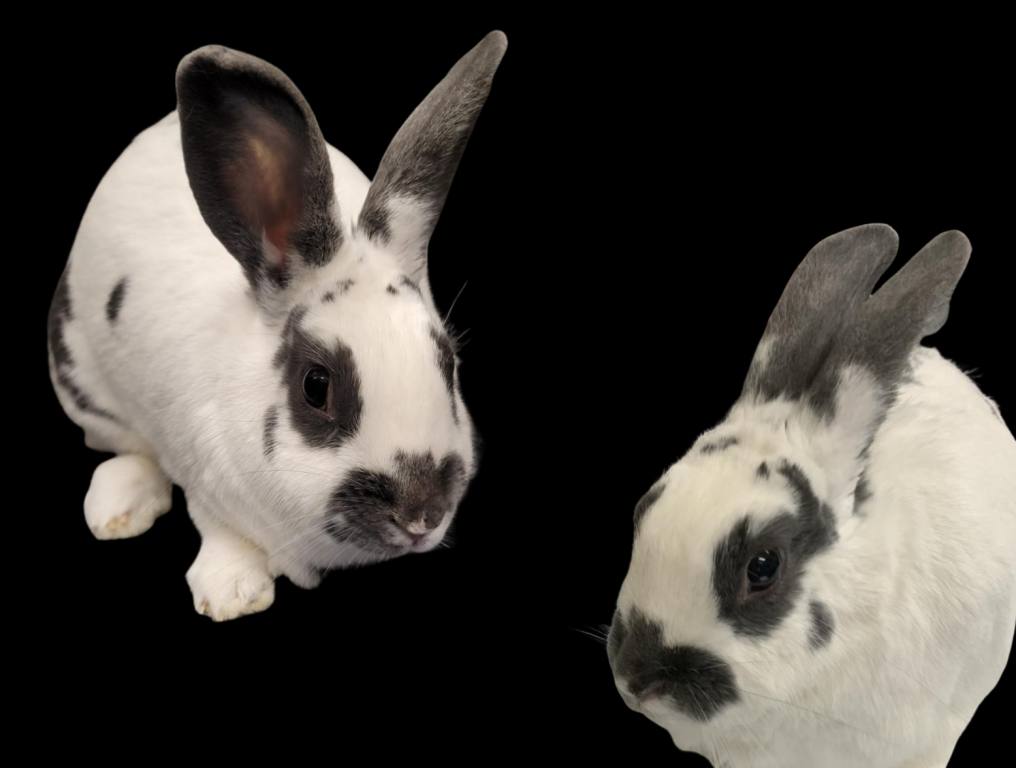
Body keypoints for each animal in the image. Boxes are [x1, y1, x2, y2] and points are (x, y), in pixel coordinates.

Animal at [47, 33, 508, 625]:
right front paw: (233, 593)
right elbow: (219, 528)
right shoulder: (202, 474)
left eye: (448, 365)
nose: (420, 514)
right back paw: (116, 510)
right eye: (316, 386)